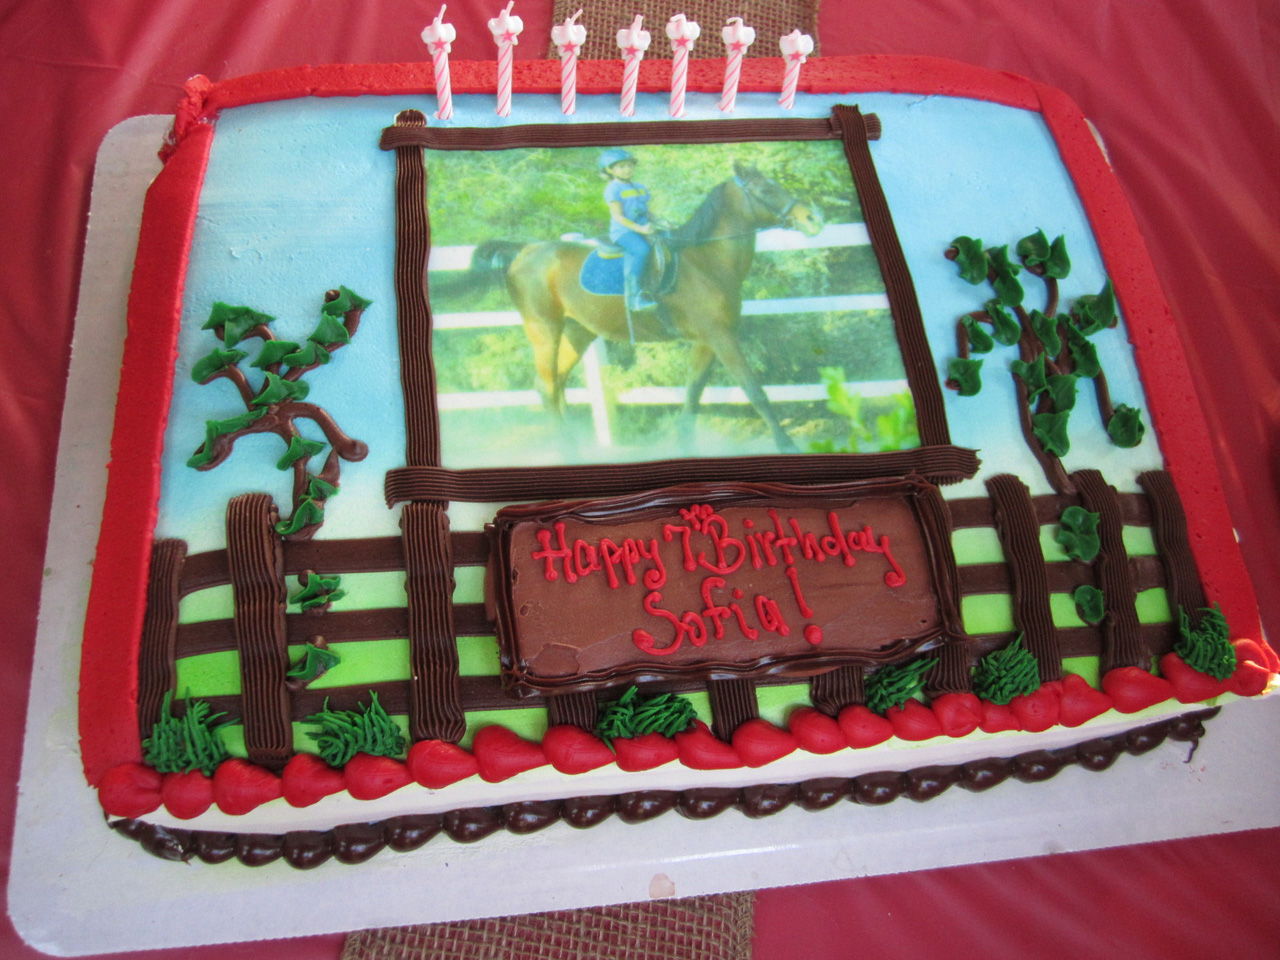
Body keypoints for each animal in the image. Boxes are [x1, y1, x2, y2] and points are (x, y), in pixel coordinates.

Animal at [470, 162, 823, 453]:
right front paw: (786, 445)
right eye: (764, 190)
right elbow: (754, 390)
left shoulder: (707, 340)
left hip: (577, 331)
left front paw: (685, 444)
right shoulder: (720, 337)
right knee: (544, 386)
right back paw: (566, 448)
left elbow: (693, 393)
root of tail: (524, 250)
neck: (704, 262)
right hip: (544, 329)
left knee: (557, 383)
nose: (812, 219)